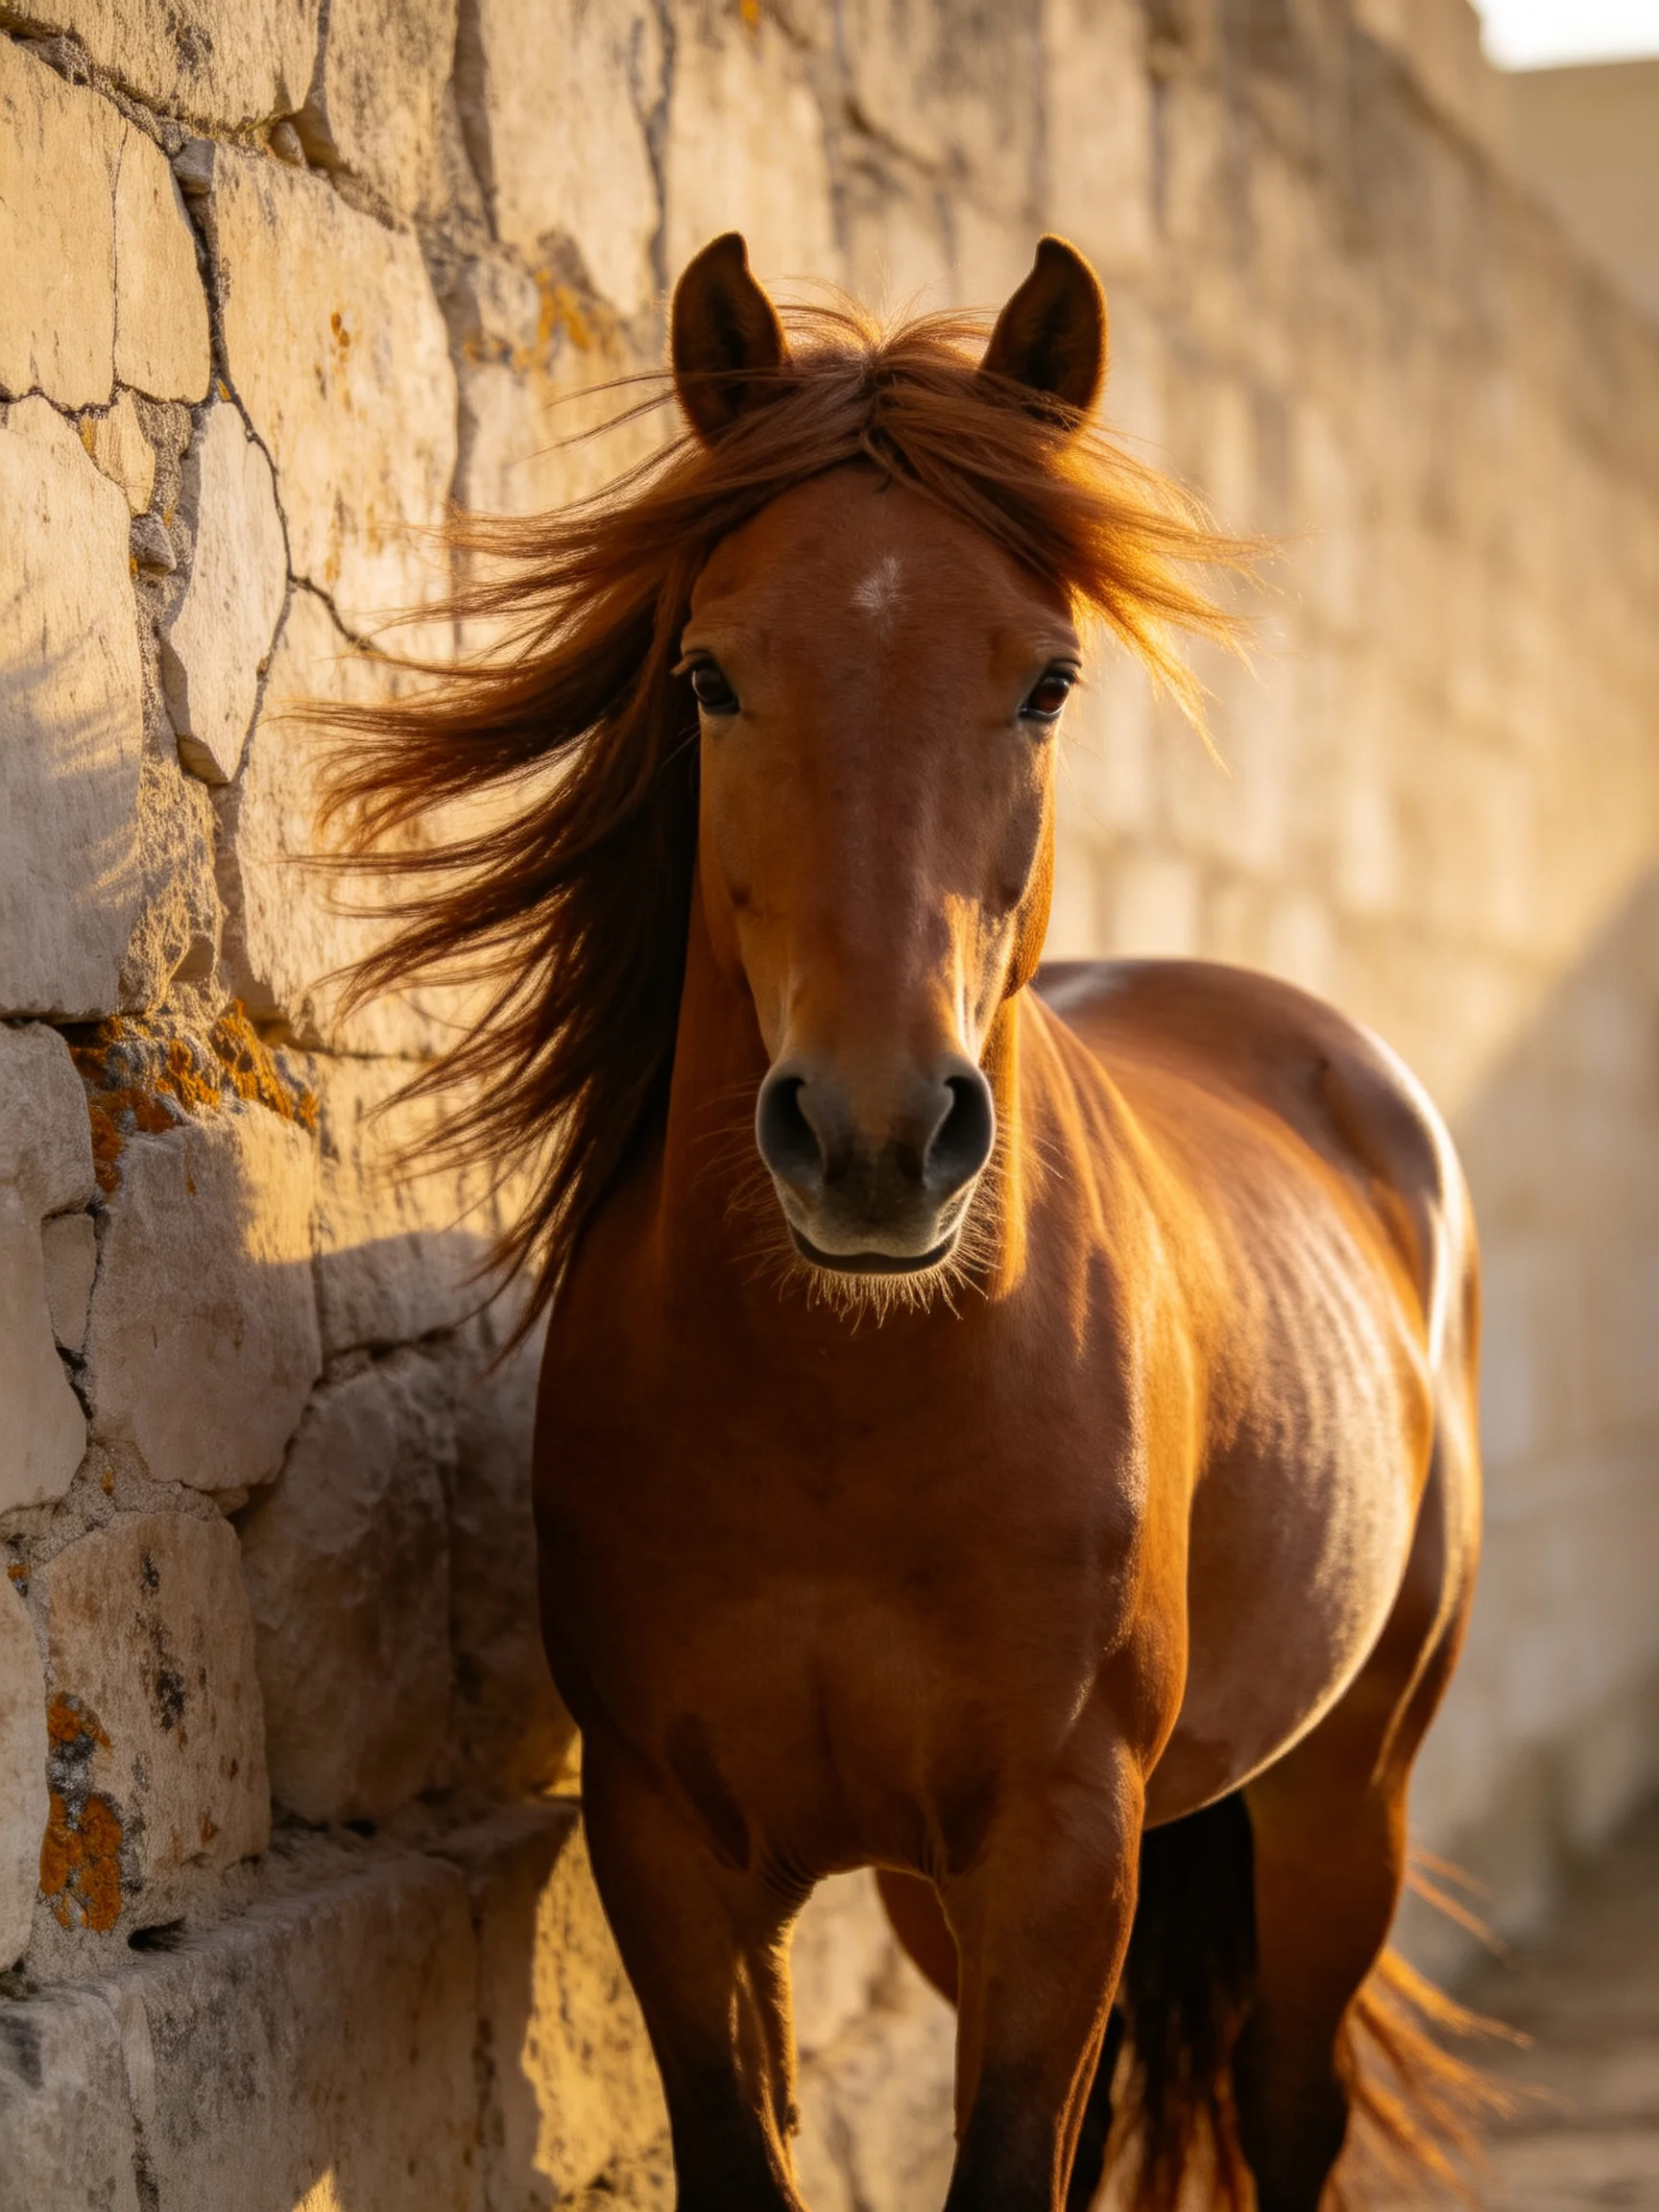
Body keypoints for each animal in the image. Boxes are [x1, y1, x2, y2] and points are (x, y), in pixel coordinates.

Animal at [322, 232, 1489, 2212]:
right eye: (708, 673)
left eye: (1047, 681)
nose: (875, 1140)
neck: (842, 1415)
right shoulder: (672, 1852)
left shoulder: (1057, 1848)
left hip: (1345, 1798)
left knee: (1287, 2099)